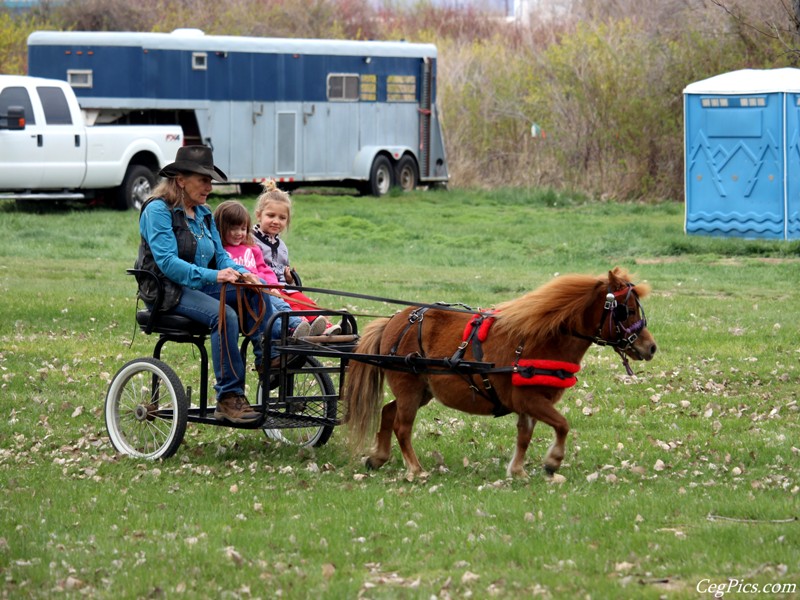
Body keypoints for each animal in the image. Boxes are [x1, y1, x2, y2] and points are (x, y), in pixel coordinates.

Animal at [344, 268, 656, 478]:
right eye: (626, 310)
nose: (651, 347)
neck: (544, 338)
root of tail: (393, 320)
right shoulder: (530, 400)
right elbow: (562, 425)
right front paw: (553, 461)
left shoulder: (530, 403)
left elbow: (525, 436)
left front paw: (517, 470)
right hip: (409, 388)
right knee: (402, 426)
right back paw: (415, 469)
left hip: (422, 391)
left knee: (388, 412)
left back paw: (378, 457)